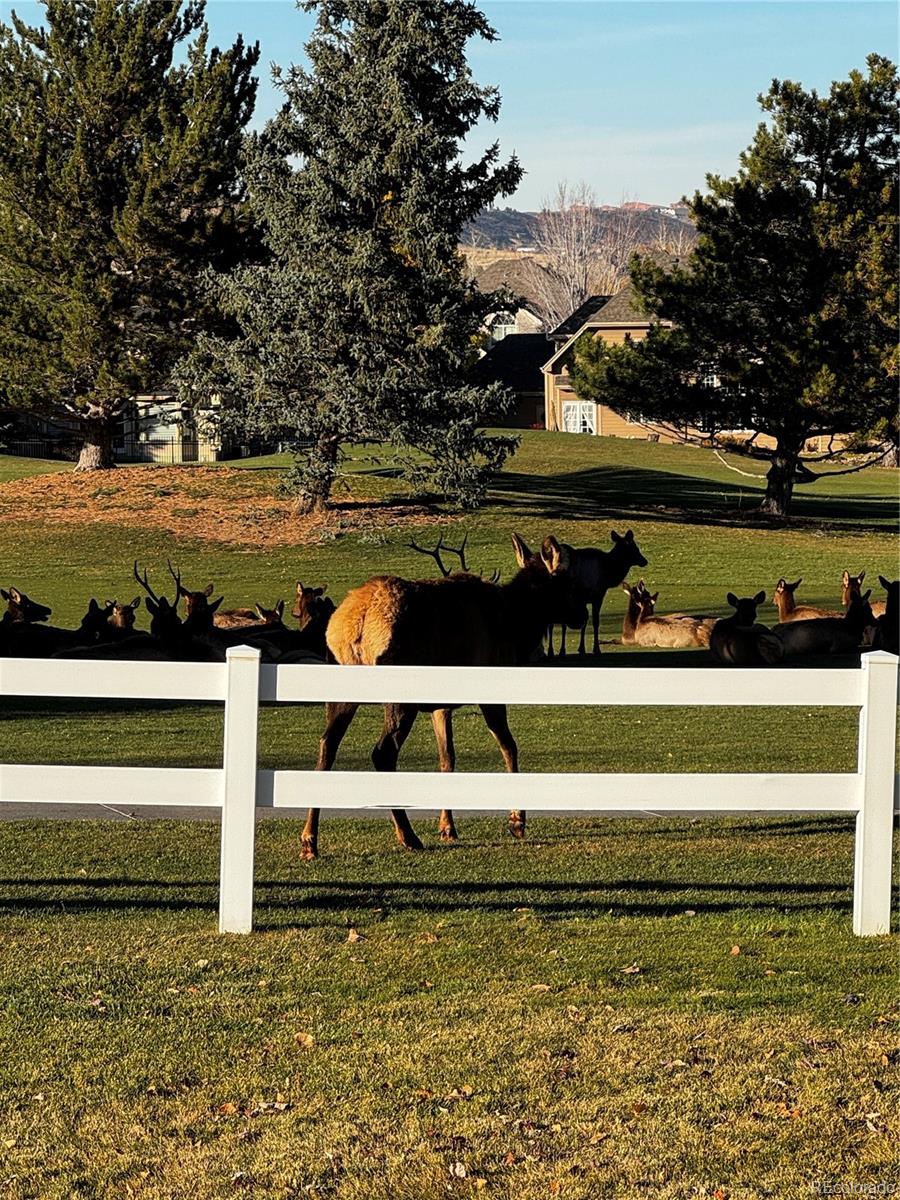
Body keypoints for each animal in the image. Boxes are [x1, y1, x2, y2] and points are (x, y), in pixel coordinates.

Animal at [300, 535, 588, 864]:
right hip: (400, 692)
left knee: (327, 745)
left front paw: (448, 827)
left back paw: (309, 840)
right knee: (383, 753)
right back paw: (408, 836)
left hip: (341, 687)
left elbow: (447, 758)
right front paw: (517, 821)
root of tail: (352, 626)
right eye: (570, 582)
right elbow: (509, 746)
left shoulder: (441, 704)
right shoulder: (490, 686)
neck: (518, 628)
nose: (583, 615)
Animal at [542, 528, 648, 657]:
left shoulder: (584, 599)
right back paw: (555, 651)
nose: (644, 561)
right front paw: (595, 649)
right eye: (635, 548)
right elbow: (594, 622)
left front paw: (581, 649)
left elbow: (584, 621)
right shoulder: (597, 595)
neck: (608, 574)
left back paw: (552, 651)